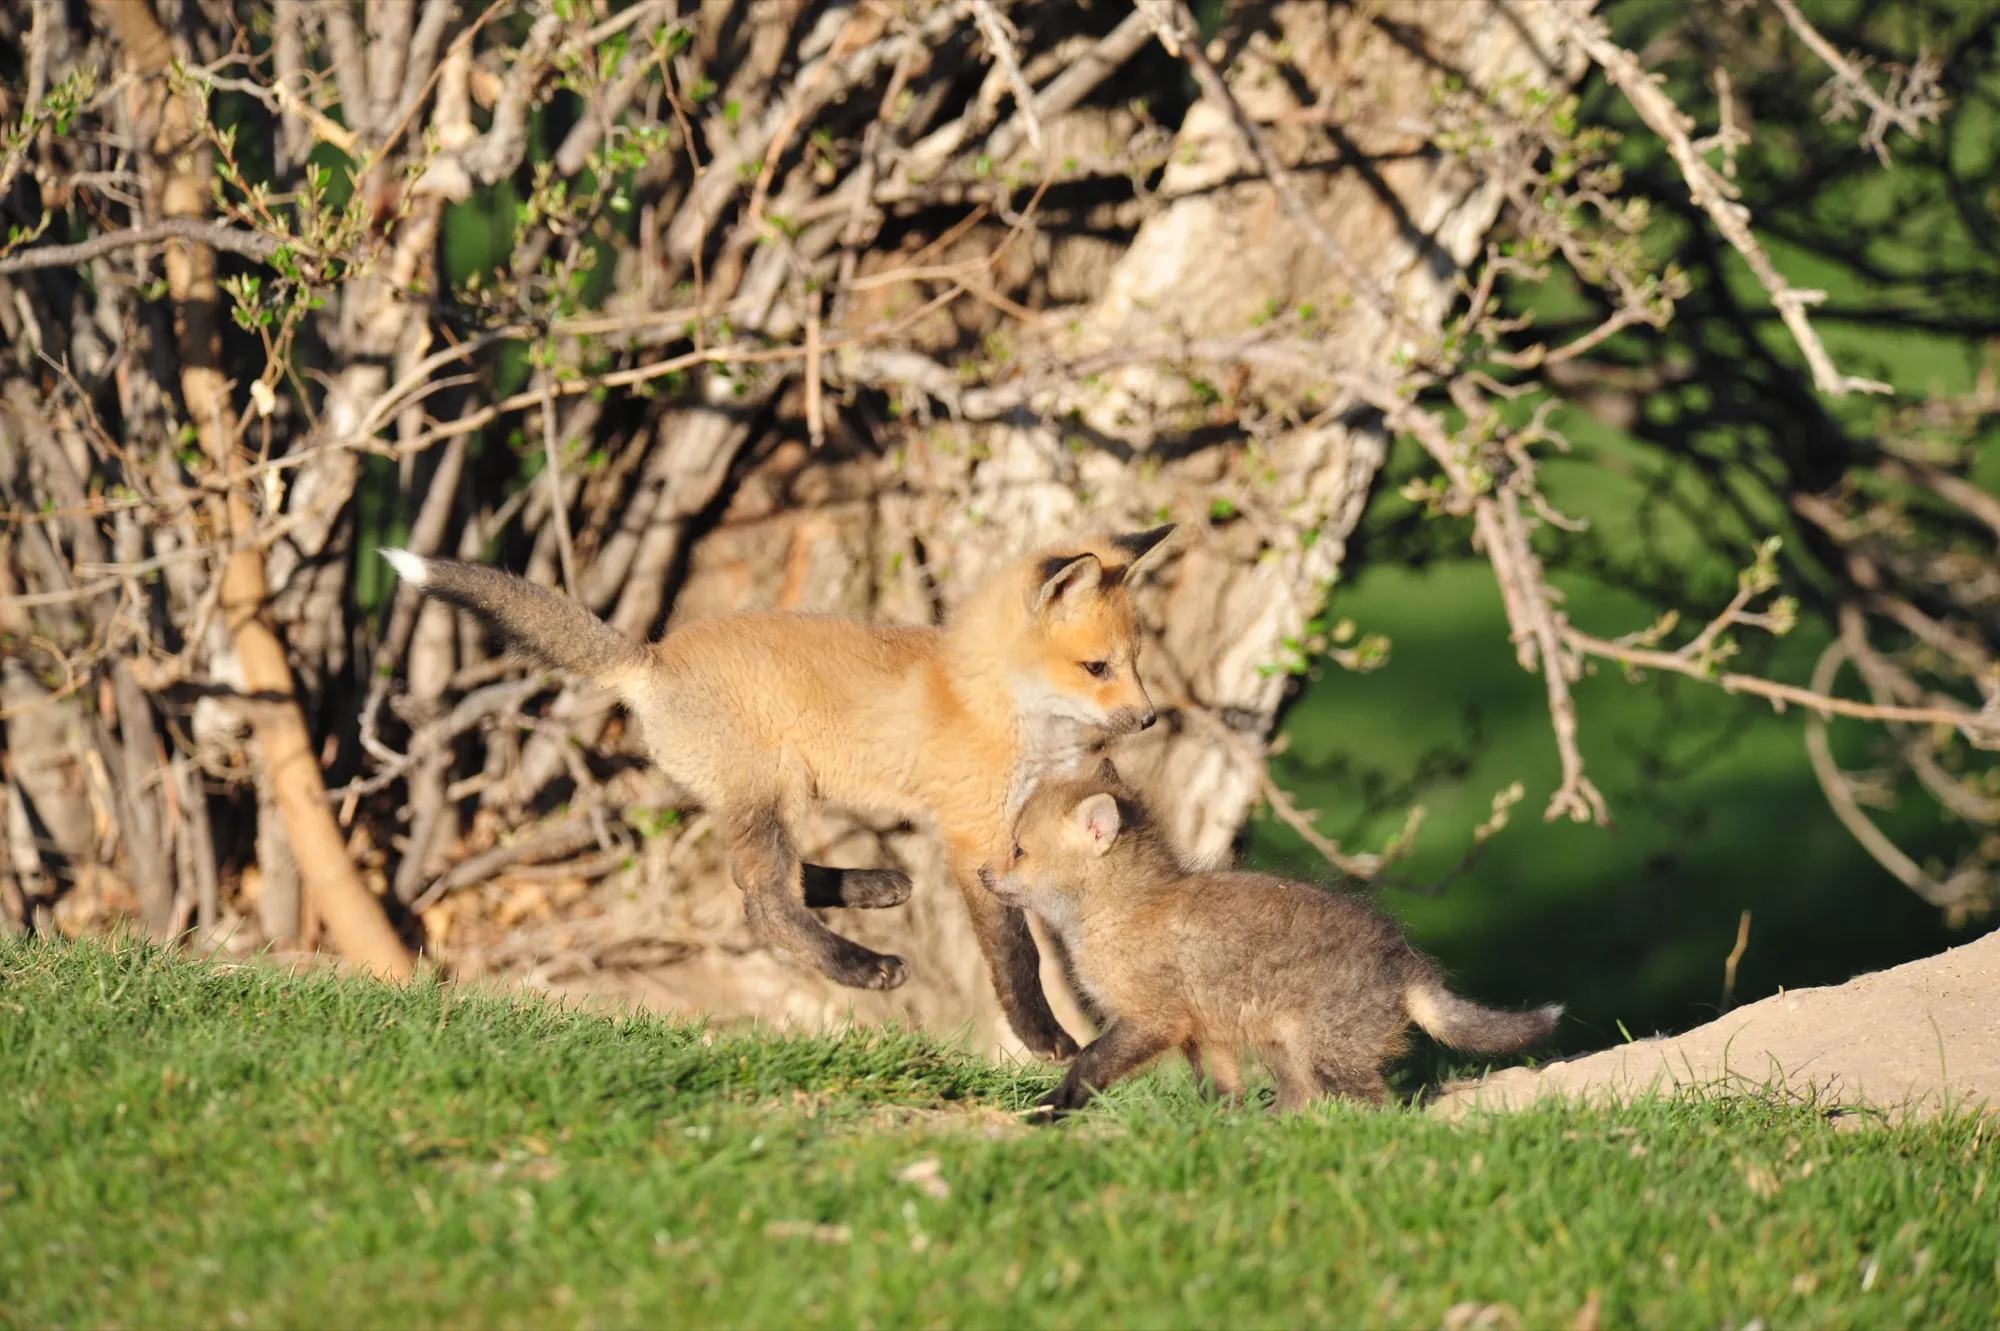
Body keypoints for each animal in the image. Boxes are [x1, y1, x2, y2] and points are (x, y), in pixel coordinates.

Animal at [376, 525, 1177, 1060]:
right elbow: (1019, 957)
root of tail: (652, 659)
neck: (992, 702)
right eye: (1097, 667)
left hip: (779, 791)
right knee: (761, 900)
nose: (1150, 718)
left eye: (1136, 662)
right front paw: (1046, 1038)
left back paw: (875, 886)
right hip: (776, 790)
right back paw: (860, 961)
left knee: (764, 883)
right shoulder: (977, 836)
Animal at [979, 759, 1564, 1113]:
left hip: (1328, 1052)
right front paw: (1221, 1128)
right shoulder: (1202, 1033)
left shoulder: (1152, 1019)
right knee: (1302, 1102)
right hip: (1286, 1049)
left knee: (1380, 1105)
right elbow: (1221, 1091)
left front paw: (1054, 1107)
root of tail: (1407, 963)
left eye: (1019, 850)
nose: (982, 873)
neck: (1123, 911)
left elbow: (1088, 1061)